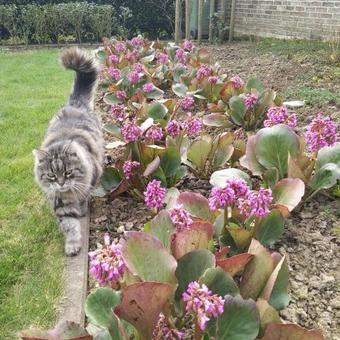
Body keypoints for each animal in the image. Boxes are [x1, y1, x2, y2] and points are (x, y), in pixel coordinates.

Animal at [34, 47, 104, 255]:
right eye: (51, 175)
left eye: (68, 172)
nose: (61, 183)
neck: (70, 194)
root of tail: (75, 104)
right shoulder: (61, 205)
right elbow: (70, 226)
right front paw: (73, 246)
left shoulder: (91, 179)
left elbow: (83, 199)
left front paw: (82, 210)